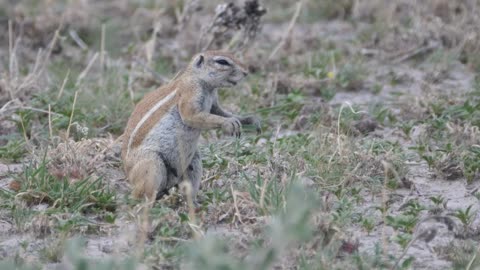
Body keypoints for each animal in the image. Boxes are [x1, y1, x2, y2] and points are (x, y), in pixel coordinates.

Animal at [122, 50, 260, 202]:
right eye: (222, 61)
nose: (246, 72)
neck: (200, 80)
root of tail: (129, 176)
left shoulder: (213, 103)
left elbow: (220, 112)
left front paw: (249, 120)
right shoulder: (190, 93)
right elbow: (192, 116)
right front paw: (229, 123)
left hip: (193, 162)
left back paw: (193, 201)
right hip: (152, 164)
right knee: (140, 195)